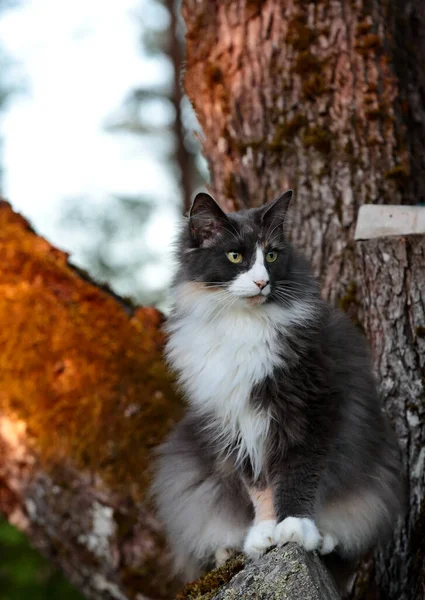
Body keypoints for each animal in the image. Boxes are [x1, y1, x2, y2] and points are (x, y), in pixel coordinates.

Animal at [150, 191, 404, 584]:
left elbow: (298, 474)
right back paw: (229, 550)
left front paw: (295, 527)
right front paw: (264, 533)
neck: (244, 325)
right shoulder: (235, 423)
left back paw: (324, 539)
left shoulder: (309, 410)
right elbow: (258, 486)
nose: (260, 283)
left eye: (271, 256)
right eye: (235, 256)